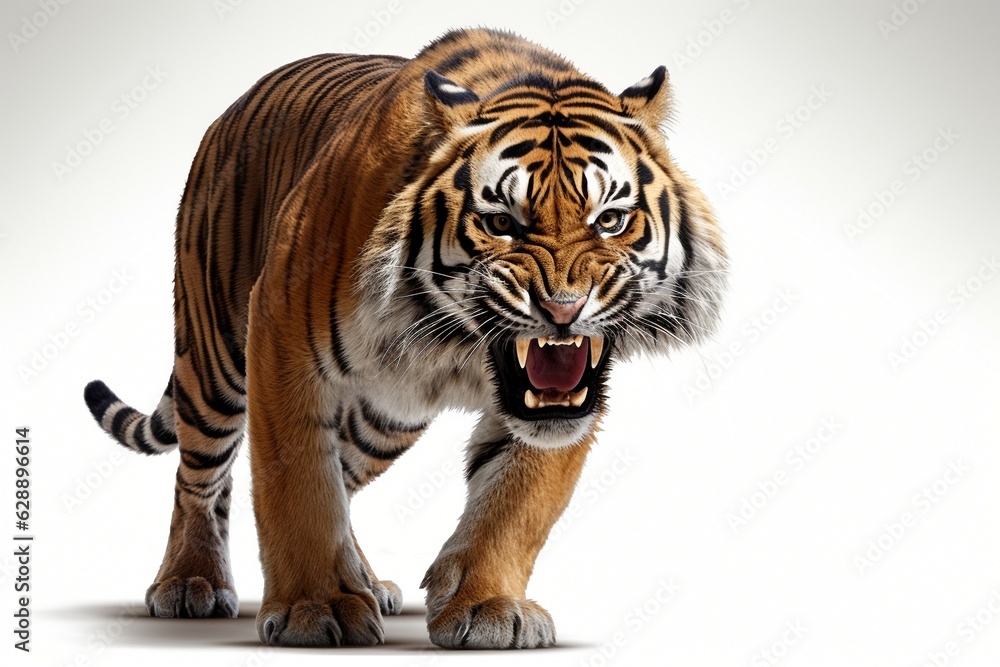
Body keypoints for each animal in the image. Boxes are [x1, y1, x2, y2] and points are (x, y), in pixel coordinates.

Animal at [82, 28, 728, 648]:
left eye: (610, 220)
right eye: (501, 223)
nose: (562, 310)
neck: (459, 348)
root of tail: (232, 108)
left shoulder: (564, 401)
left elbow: (518, 502)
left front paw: (488, 606)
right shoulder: (280, 338)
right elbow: (298, 486)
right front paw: (315, 609)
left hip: (386, 421)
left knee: (342, 473)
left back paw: (366, 580)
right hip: (215, 359)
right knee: (199, 477)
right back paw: (190, 582)